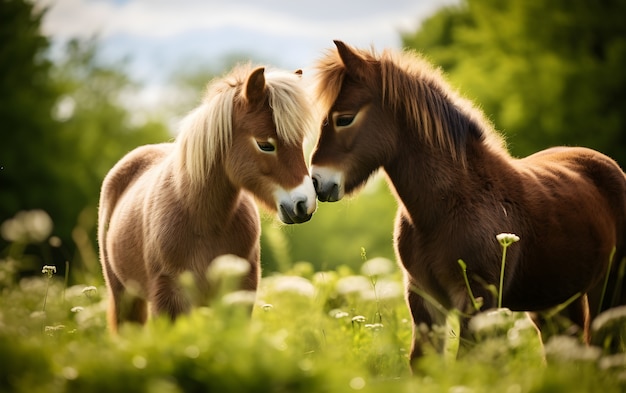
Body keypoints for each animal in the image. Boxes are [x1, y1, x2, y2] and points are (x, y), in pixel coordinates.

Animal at [98, 65, 316, 330]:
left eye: (299, 142)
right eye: (265, 144)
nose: (304, 204)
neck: (203, 220)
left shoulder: (239, 294)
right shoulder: (169, 298)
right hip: (124, 296)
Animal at [308, 40, 624, 362]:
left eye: (344, 118)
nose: (317, 182)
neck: (449, 205)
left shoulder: (478, 300)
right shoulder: (423, 297)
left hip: (607, 292)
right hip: (555, 303)